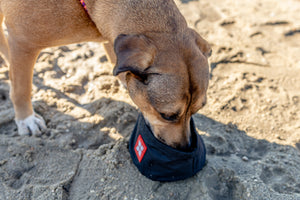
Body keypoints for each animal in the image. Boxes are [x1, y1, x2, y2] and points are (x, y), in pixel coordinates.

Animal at [0, 0, 211, 149]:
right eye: (166, 115)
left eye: (196, 110)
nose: (184, 147)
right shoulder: (23, 43)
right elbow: (21, 89)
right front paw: (26, 119)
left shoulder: (111, 36)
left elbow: (116, 60)